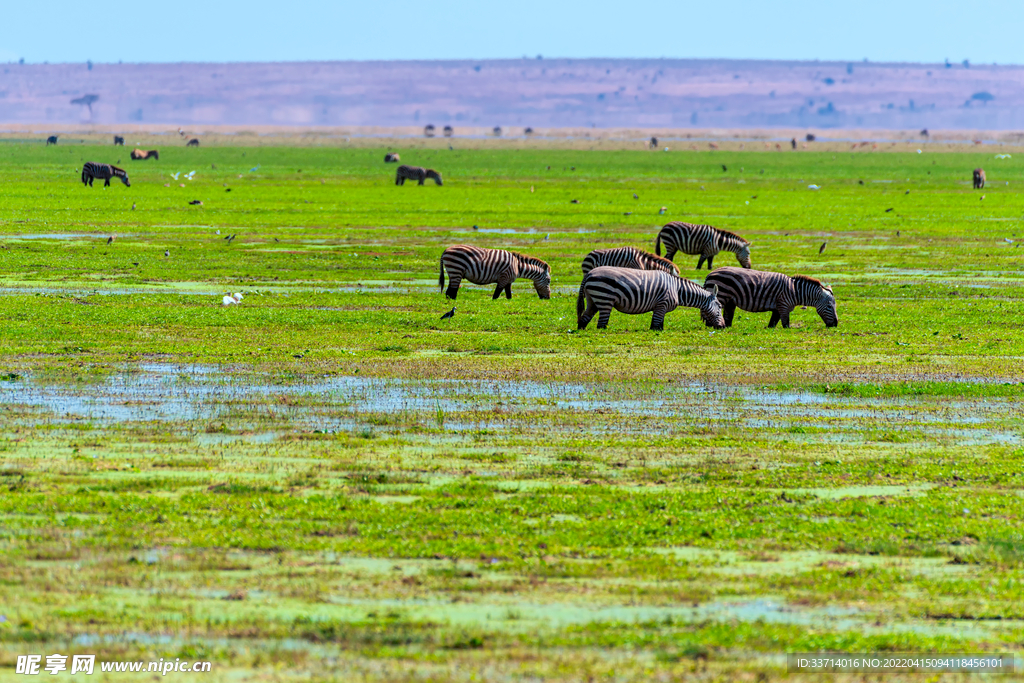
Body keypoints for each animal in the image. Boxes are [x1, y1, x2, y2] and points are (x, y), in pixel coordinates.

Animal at [577, 266, 729, 331]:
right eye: (720, 306)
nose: (723, 327)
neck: (677, 290)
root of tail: (589, 273)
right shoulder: (662, 304)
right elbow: (655, 327)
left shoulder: (660, 308)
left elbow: (659, 325)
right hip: (605, 300)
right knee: (601, 325)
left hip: (593, 300)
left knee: (584, 319)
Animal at [704, 266, 839, 329]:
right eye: (829, 306)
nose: (835, 324)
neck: (795, 291)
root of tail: (710, 274)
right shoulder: (783, 306)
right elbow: (786, 325)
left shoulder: (777, 308)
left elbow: (772, 324)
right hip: (720, 296)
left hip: (730, 301)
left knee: (727, 317)